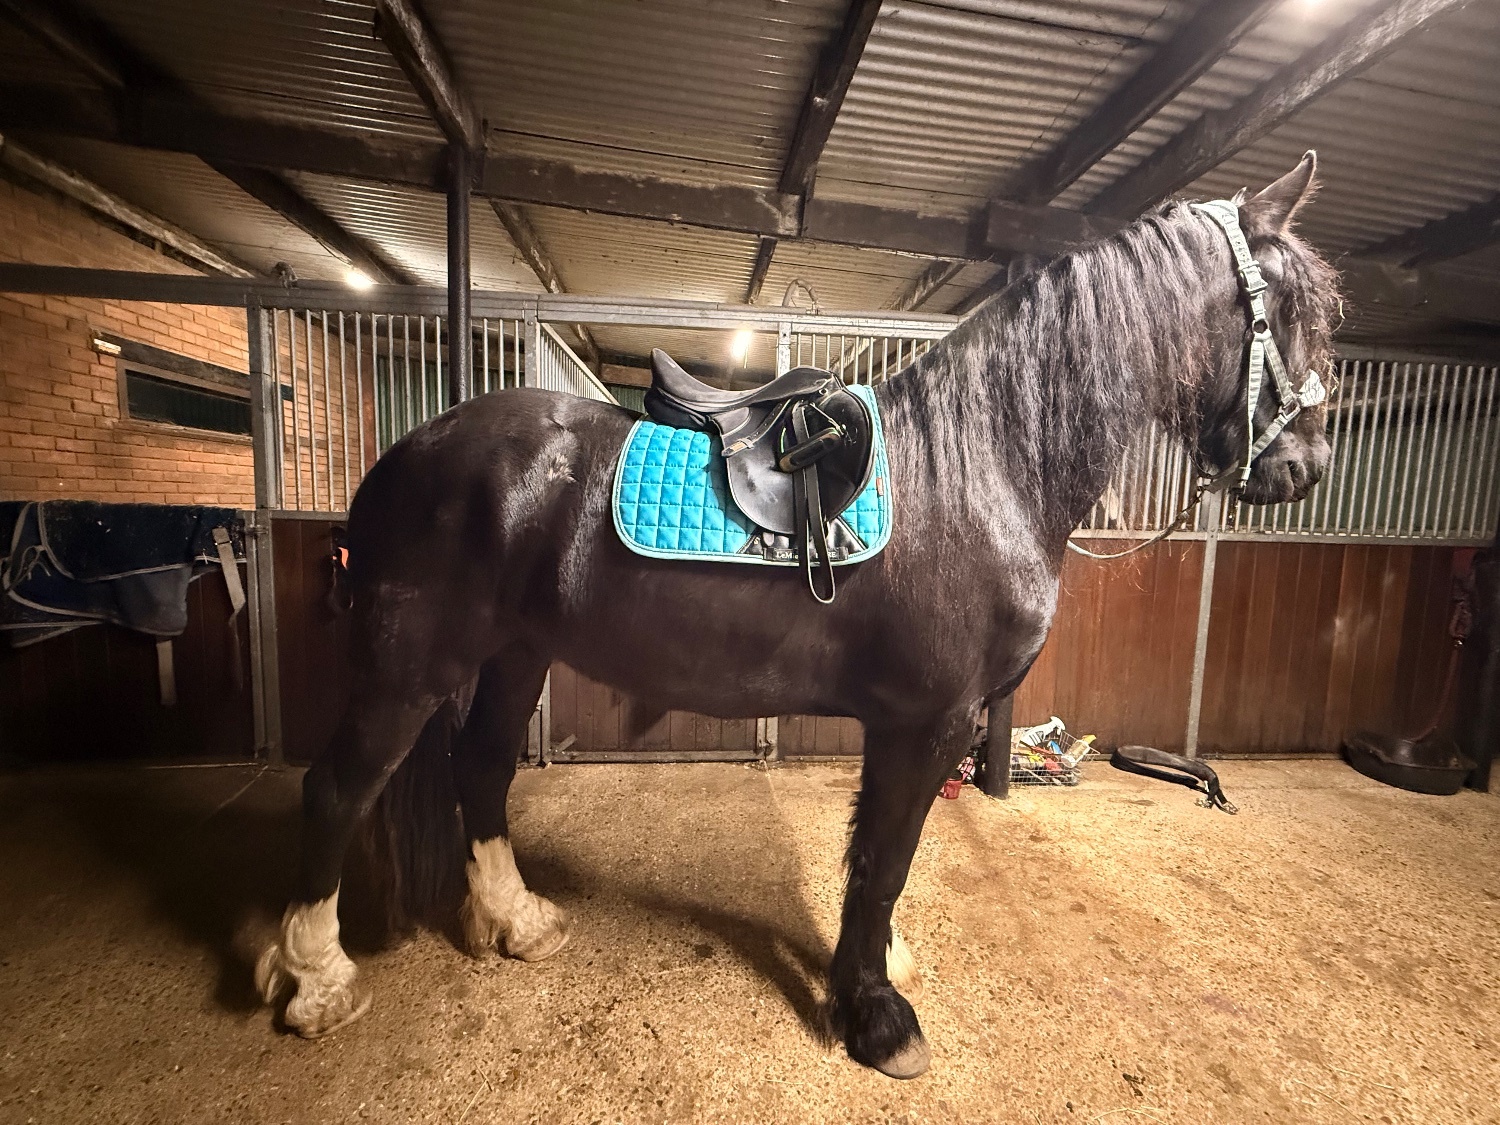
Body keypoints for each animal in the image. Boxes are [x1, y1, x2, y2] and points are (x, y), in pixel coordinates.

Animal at [255, 153, 1341, 1080]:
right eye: (1291, 307)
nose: (1304, 471)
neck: (982, 465)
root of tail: (408, 454)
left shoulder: (913, 724)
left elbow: (881, 859)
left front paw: (879, 970)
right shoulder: (928, 720)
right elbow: (884, 859)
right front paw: (876, 1018)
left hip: (517, 652)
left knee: (479, 767)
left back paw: (518, 921)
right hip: (412, 660)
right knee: (337, 788)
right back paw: (315, 981)